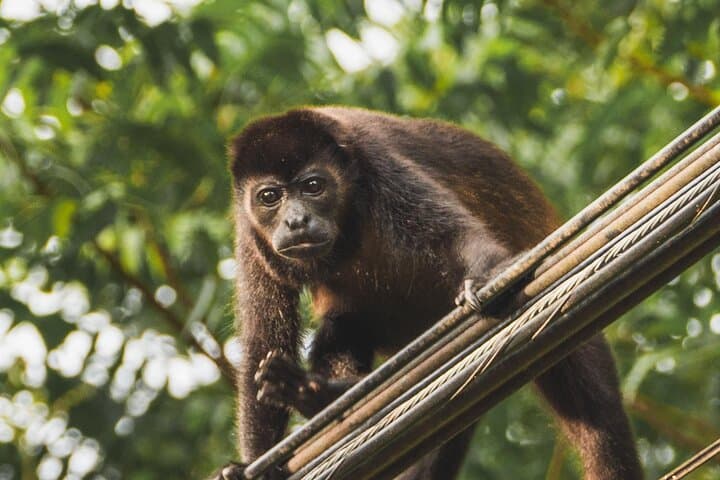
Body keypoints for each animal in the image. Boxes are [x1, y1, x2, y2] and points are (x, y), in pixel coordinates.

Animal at [215, 106, 643, 480]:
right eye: (270, 197)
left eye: (313, 186)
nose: (296, 220)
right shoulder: (249, 233)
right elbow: (264, 338)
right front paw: (252, 466)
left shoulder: (378, 167)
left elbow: (452, 235)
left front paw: (489, 277)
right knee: (345, 324)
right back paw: (319, 395)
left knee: (598, 417)